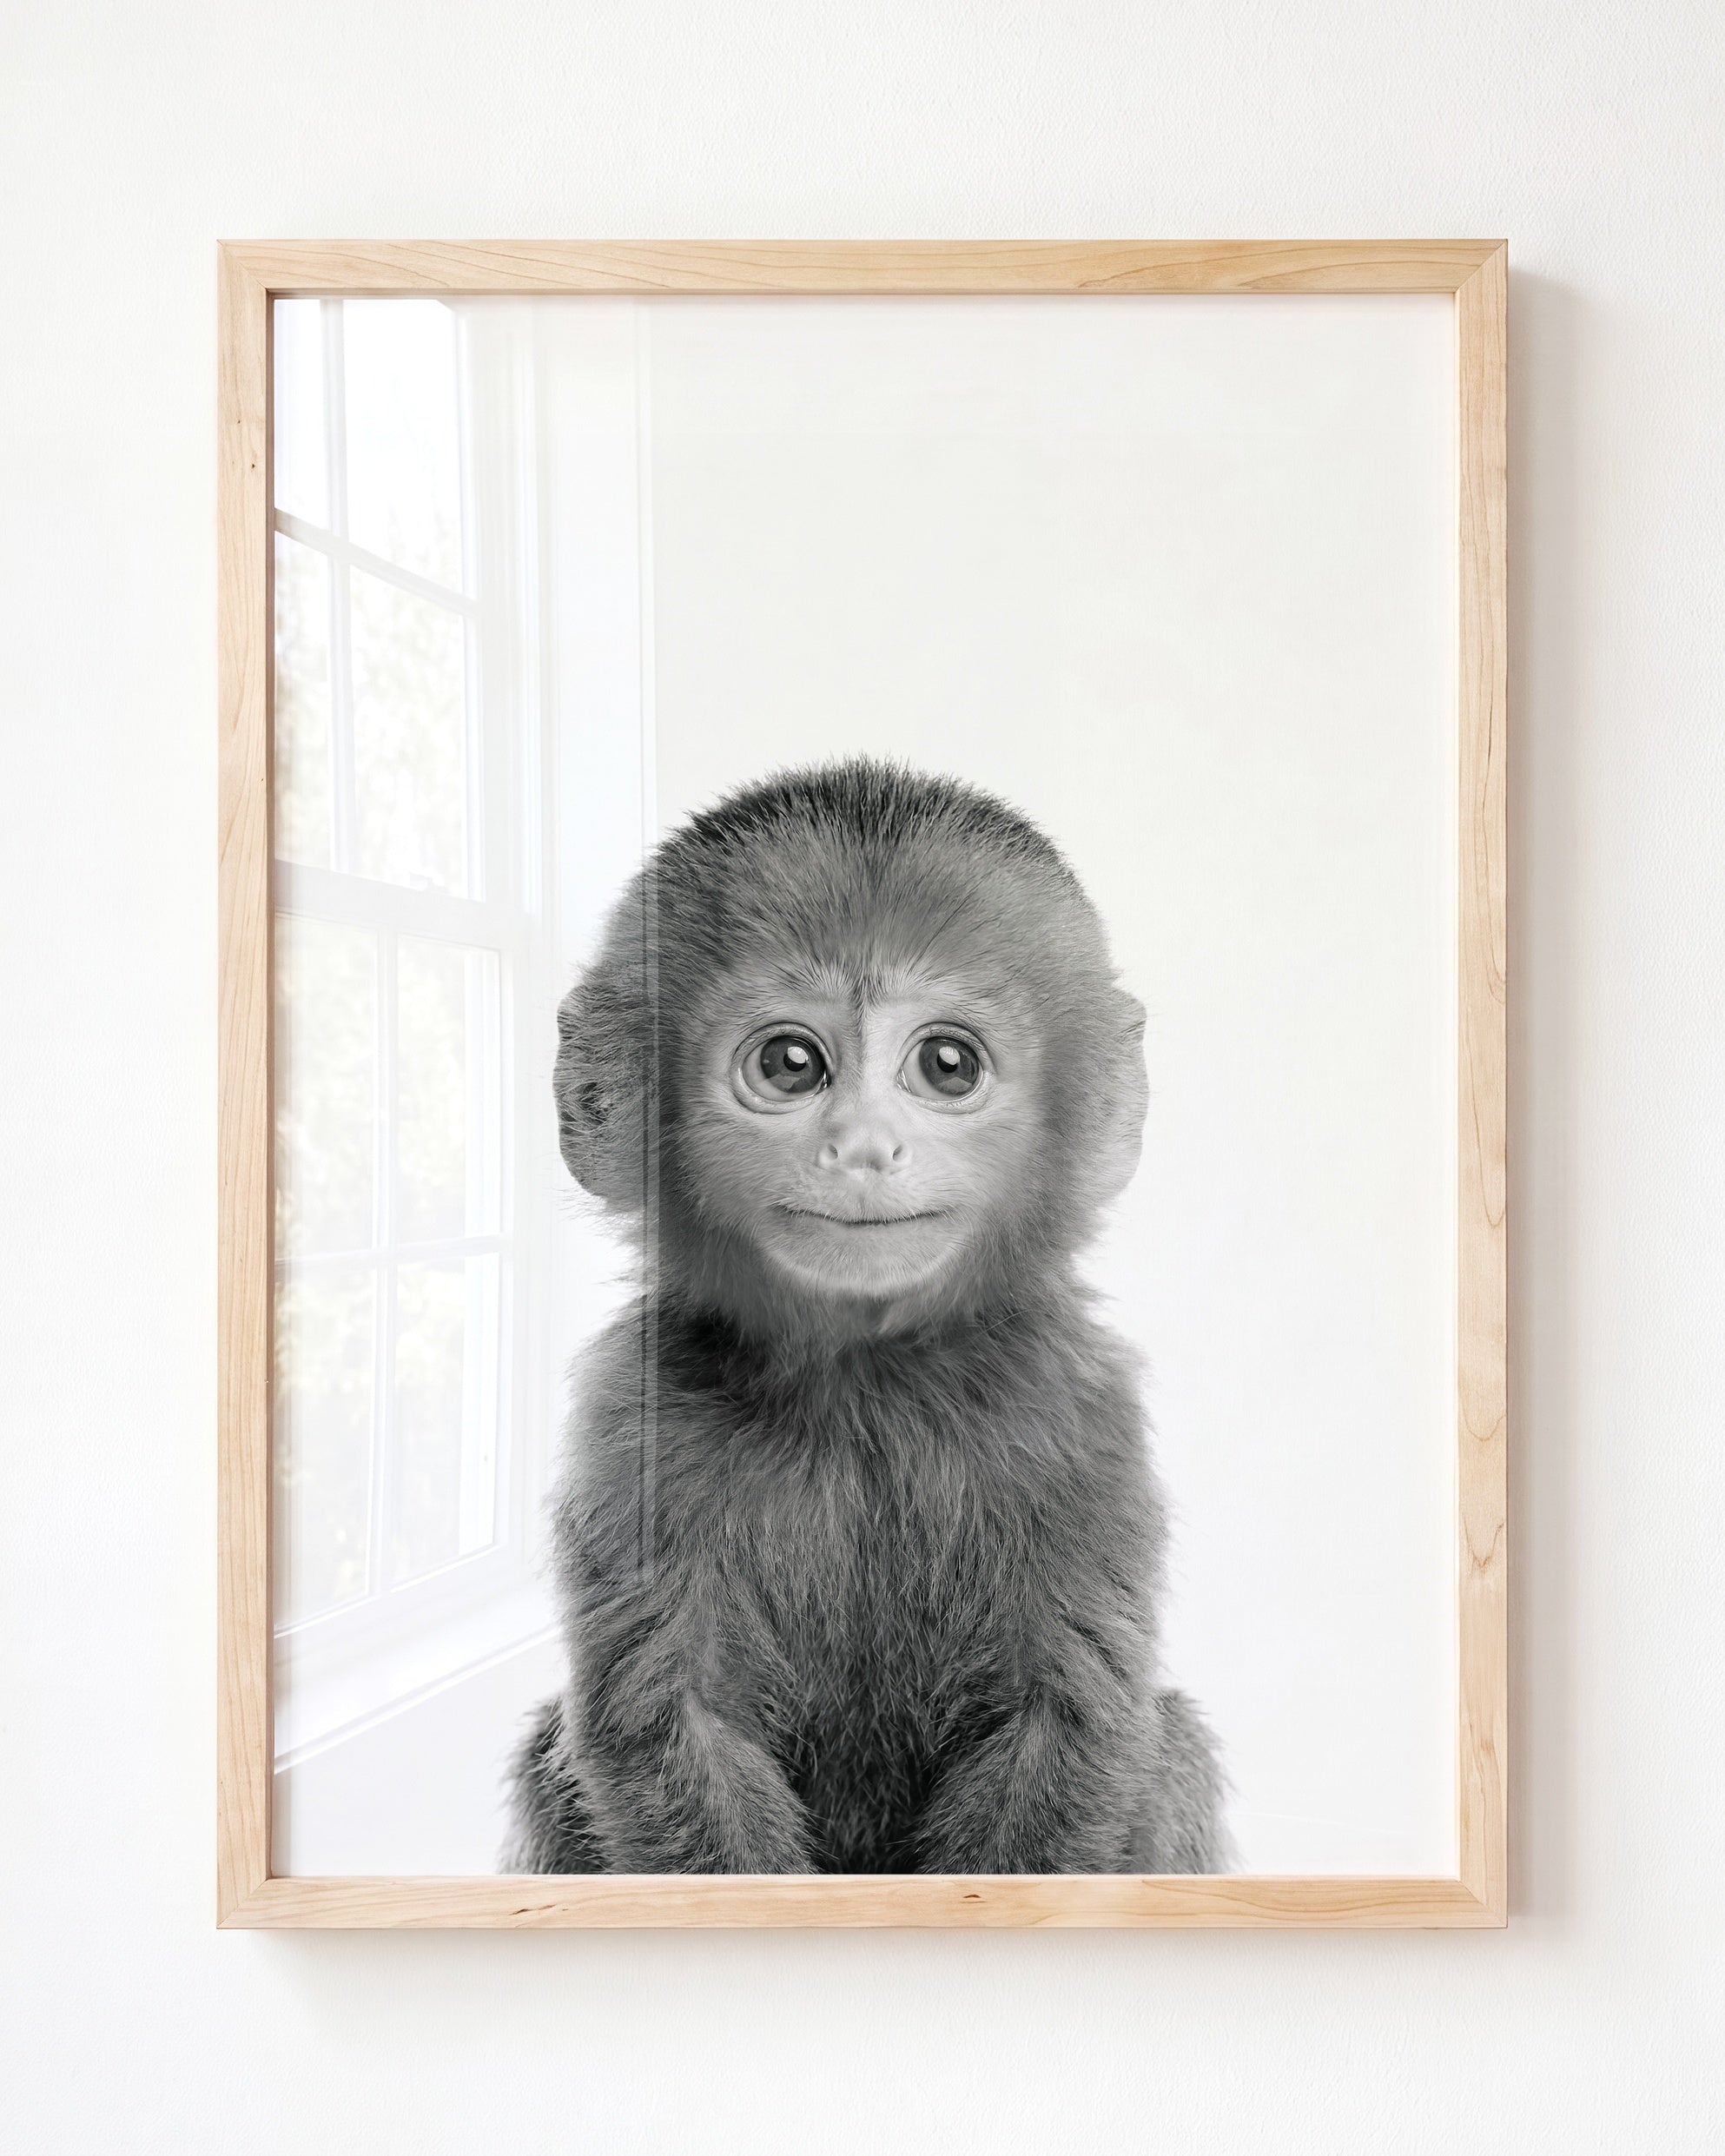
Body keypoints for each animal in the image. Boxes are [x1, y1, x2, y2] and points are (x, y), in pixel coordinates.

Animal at [503, 759, 1230, 1875]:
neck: (865, 1383)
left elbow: (1064, 1724)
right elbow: (673, 1727)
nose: (862, 1147)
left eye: (947, 1065)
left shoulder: (1081, 1409)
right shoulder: (632, 1413)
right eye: (791, 1065)